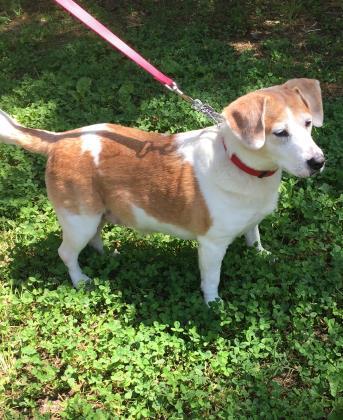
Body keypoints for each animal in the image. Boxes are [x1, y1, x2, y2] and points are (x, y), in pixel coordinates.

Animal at [0, 78, 326, 302]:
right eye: (280, 133)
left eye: (308, 123)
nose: (318, 162)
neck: (244, 166)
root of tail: (59, 140)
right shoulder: (211, 245)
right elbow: (211, 279)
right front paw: (213, 305)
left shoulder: (251, 221)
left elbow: (254, 237)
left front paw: (261, 255)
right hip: (79, 218)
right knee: (66, 252)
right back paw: (80, 280)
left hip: (95, 214)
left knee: (94, 239)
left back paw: (108, 256)